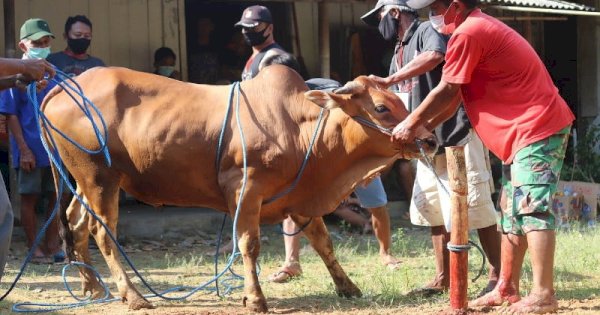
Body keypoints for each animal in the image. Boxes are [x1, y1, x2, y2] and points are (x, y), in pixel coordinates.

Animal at [42, 66, 436, 314]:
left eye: (400, 101)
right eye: (381, 107)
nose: (430, 139)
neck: (298, 127)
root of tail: (64, 85)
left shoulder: (300, 198)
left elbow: (324, 244)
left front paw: (347, 287)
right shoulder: (246, 190)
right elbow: (249, 244)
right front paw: (255, 298)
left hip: (87, 182)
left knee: (76, 225)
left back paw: (93, 286)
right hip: (100, 178)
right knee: (102, 233)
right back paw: (134, 295)